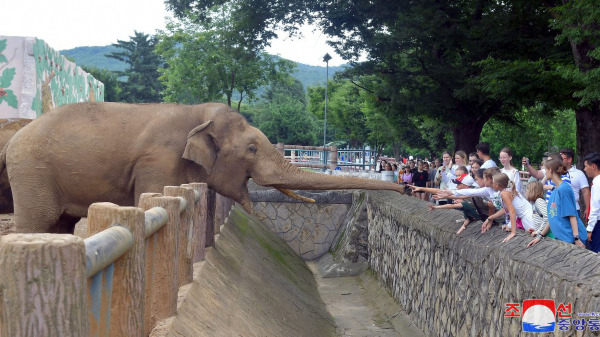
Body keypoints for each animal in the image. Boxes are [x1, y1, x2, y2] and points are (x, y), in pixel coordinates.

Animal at [2, 101, 406, 234]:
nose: (406, 188)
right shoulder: (157, 162)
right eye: (252, 148)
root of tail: (15, 137)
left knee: (60, 224)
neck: (198, 112)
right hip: (32, 171)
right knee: (38, 222)